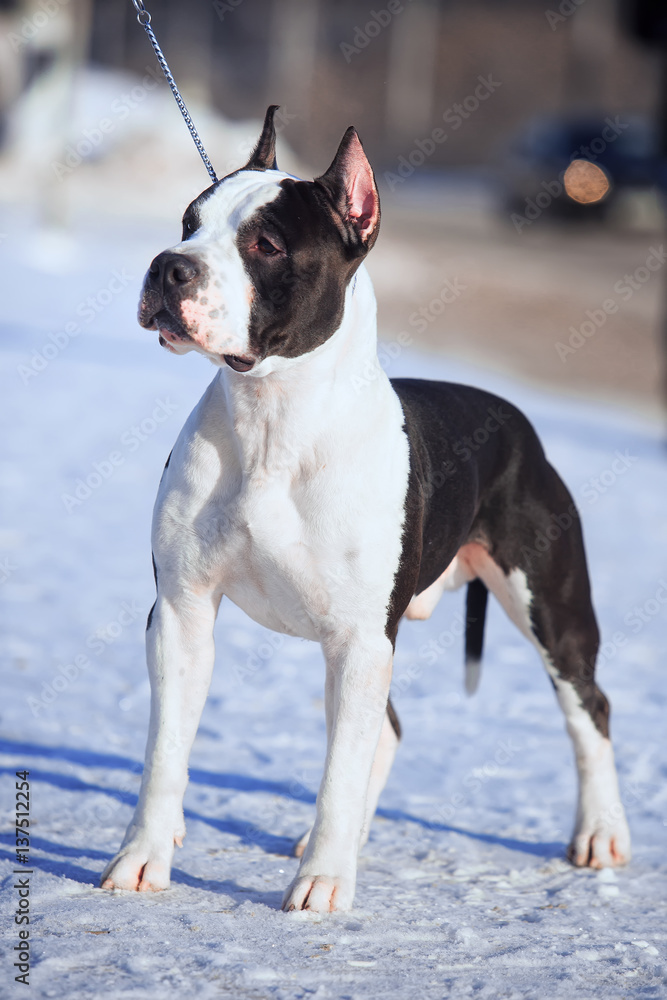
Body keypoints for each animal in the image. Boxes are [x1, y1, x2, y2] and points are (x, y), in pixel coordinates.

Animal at [100, 105, 632, 912]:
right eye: (189, 223)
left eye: (265, 243)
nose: (169, 265)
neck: (274, 417)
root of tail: (512, 416)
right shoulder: (183, 613)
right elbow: (165, 750)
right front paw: (141, 859)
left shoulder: (357, 638)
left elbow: (340, 769)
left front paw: (321, 881)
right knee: (387, 731)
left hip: (549, 609)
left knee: (586, 708)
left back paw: (599, 835)